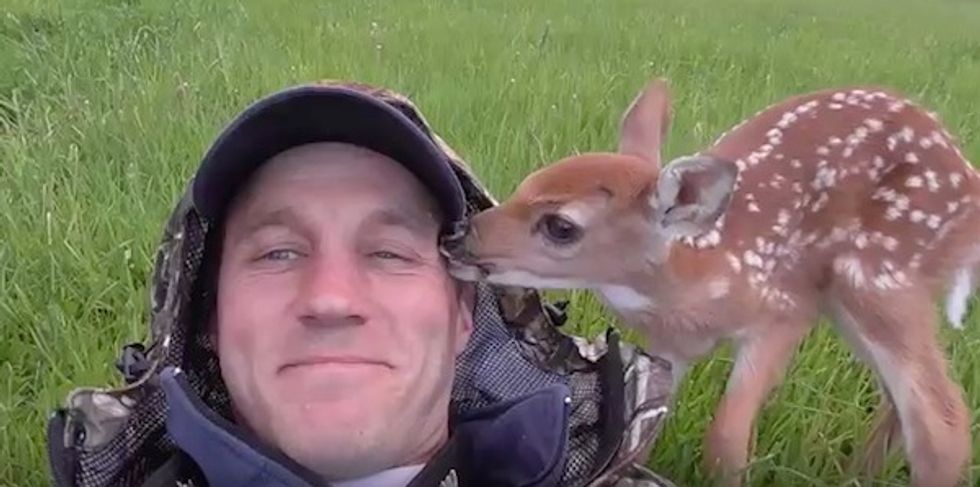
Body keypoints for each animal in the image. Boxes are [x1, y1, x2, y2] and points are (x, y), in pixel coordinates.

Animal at [440, 77, 977, 486]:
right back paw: (855, 475)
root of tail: (968, 178)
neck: (698, 281)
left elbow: (725, 440)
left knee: (943, 425)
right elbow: (644, 431)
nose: (457, 235)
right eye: (528, 182)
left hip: (880, 278)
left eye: (561, 226)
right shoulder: (671, 347)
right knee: (902, 403)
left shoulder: (785, 309)